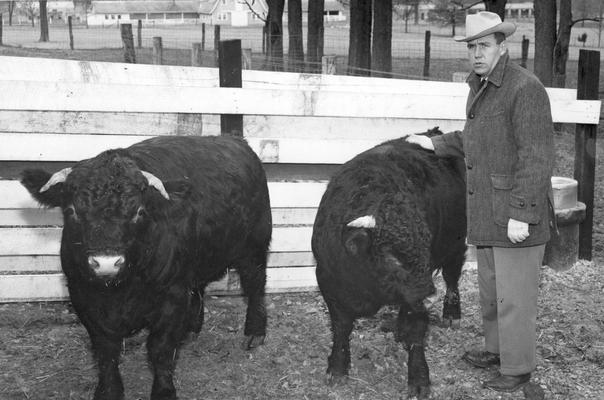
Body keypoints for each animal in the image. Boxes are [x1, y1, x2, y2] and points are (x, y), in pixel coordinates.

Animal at [20, 135, 272, 400]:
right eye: (72, 211)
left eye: (139, 212)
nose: (106, 262)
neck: (121, 290)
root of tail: (235, 140)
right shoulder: (81, 295)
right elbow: (105, 349)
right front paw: (109, 390)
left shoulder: (173, 295)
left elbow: (160, 349)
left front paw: (164, 391)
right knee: (199, 288)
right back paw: (192, 328)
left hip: (255, 246)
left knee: (255, 286)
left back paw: (254, 333)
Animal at [312, 130, 468, 398]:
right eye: (391, 256)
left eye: (424, 247)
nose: (429, 293)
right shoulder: (328, 282)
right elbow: (341, 327)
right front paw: (337, 367)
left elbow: (417, 329)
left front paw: (419, 379)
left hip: (456, 244)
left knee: (452, 278)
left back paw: (451, 314)